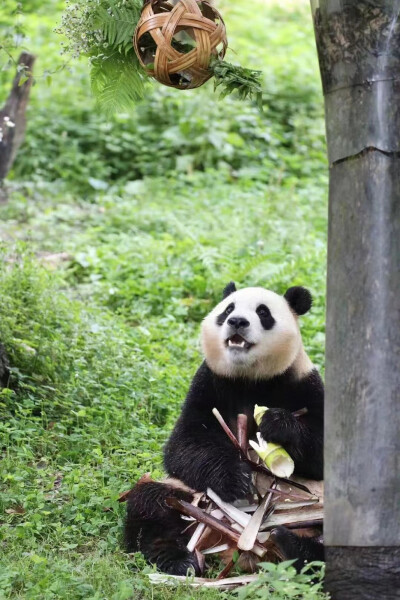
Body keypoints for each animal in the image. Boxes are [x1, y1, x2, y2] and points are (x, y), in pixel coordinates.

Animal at [125, 286, 324, 576]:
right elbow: (185, 445)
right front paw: (235, 479)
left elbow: (324, 452)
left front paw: (277, 423)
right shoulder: (208, 381)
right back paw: (179, 560)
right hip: (191, 497)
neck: (250, 378)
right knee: (151, 502)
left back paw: (291, 544)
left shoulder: (304, 381)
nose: (237, 322)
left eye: (263, 312)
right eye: (228, 309)